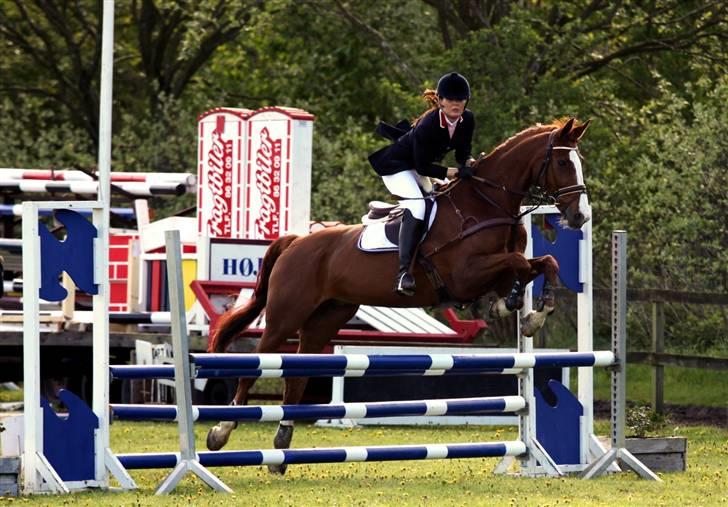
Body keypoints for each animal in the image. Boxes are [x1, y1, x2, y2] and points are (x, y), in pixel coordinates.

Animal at [205, 116, 592, 472]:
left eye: (579, 161)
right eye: (562, 162)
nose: (580, 217)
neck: (485, 202)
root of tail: (295, 241)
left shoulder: (494, 270)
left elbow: (545, 262)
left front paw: (527, 312)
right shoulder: (465, 274)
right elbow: (520, 262)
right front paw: (521, 309)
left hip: (326, 318)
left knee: (297, 374)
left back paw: (282, 444)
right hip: (286, 315)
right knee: (256, 363)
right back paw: (221, 431)